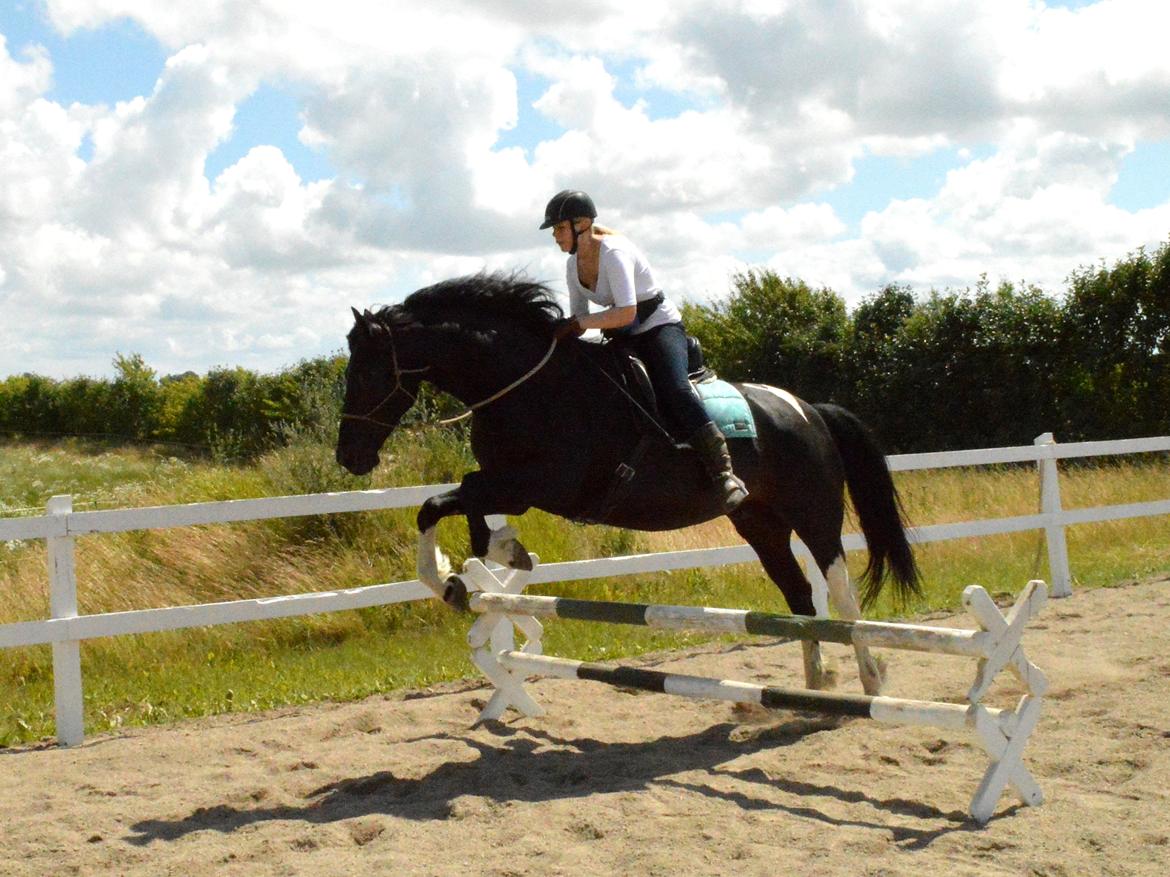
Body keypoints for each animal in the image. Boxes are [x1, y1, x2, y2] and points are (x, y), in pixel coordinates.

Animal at [334, 271, 917, 696]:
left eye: (365, 373)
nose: (349, 457)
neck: (525, 385)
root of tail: (808, 410)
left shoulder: (536, 487)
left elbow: (440, 503)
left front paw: (457, 575)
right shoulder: (506, 484)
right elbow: (455, 503)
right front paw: (493, 559)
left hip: (814, 515)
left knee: (842, 600)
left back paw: (870, 681)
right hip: (759, 523)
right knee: (800, 599)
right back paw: (814, 685)